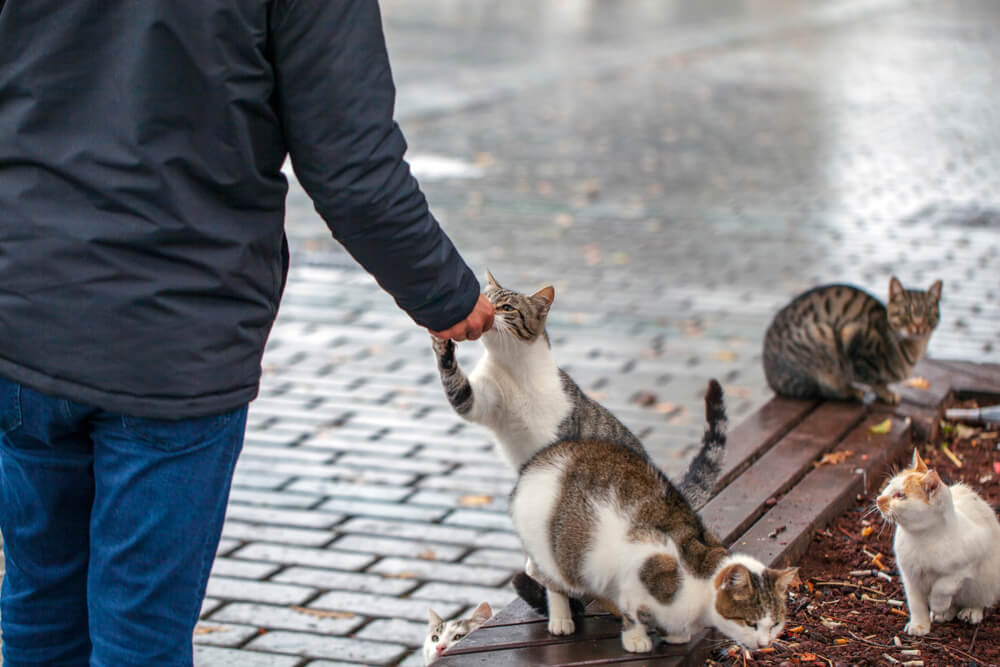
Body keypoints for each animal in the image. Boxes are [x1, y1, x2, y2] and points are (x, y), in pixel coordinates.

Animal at [434, 272, 724, 512]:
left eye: (507, 307)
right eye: (487, 299)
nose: (481, 311)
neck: (512, 368)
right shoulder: (478, 401)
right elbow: (458, 390)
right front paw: (441, 344)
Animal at [508, 380, 796, 652]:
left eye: (775, 623)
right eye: (750, 623)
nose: (764, 643)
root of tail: (540, 457)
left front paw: (674, 634)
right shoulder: (637, 569)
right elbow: (633, 612)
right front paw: (636, 640)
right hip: (550, 550)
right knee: (551, 580)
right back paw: (561, 619)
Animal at [876, 448, 1000, 636]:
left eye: (901, 496)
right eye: (889, 485)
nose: (879, 499)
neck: (920, 538)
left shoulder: (971, 560)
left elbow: (943, 585)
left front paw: (938, 604)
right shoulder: (910, 576)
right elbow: (915, 603)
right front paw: (920, 625)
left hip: (987, 579)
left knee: (981, 598)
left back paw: (970, 611)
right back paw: (944, 614)